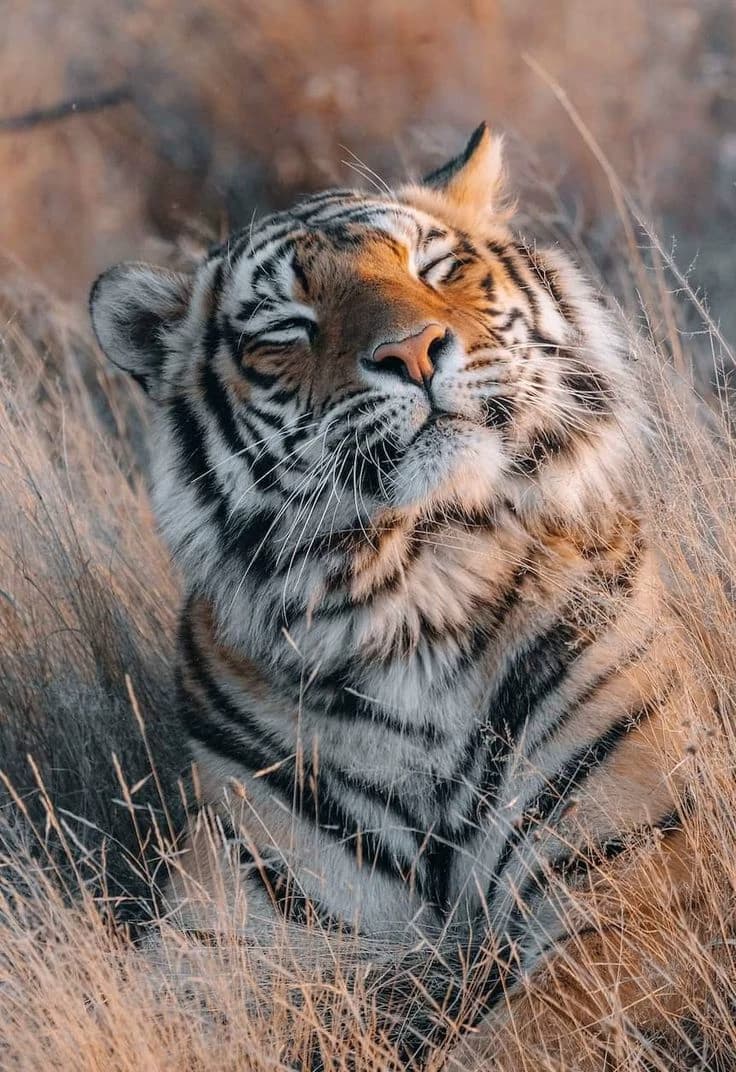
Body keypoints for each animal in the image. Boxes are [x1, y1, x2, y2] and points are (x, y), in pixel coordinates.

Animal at [89, 124, 698, 1067]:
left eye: (435, 269)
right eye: (288, 329)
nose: (411, 353)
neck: (420, 584)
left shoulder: (636, 892)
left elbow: (511, 1045)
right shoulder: (224, 944)